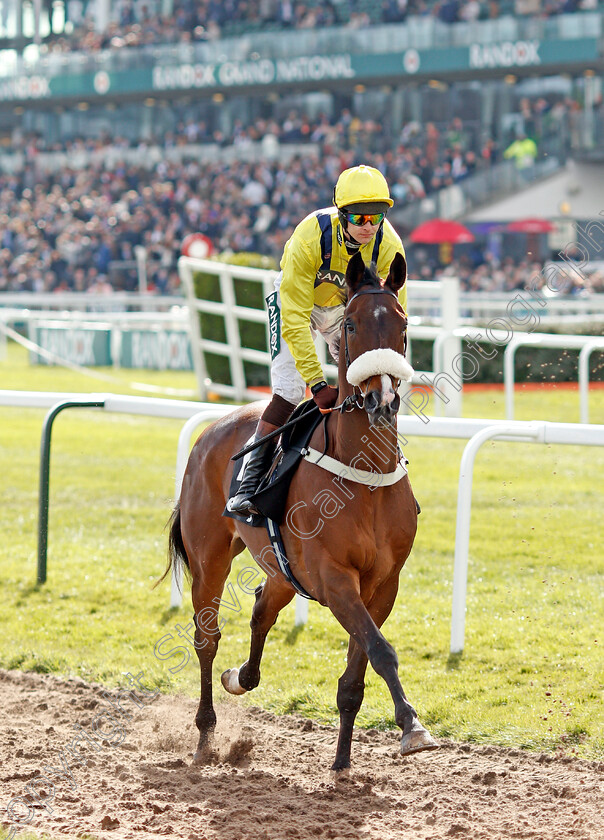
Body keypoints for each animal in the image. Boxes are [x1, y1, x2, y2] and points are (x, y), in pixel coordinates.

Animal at [164, 251, 438, 776]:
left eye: (402, 325)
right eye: (351, 324)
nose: (382, 400)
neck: (363, 472)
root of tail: (215, 427)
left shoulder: (383, 584)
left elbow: (358, 670)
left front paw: (343, 761)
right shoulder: (334, 578)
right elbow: (381, 650)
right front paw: (412, 726)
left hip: (283, 569)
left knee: (260, 609)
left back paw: (240, 677)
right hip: (210, 558)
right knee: (207, 636)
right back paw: (206, 734)